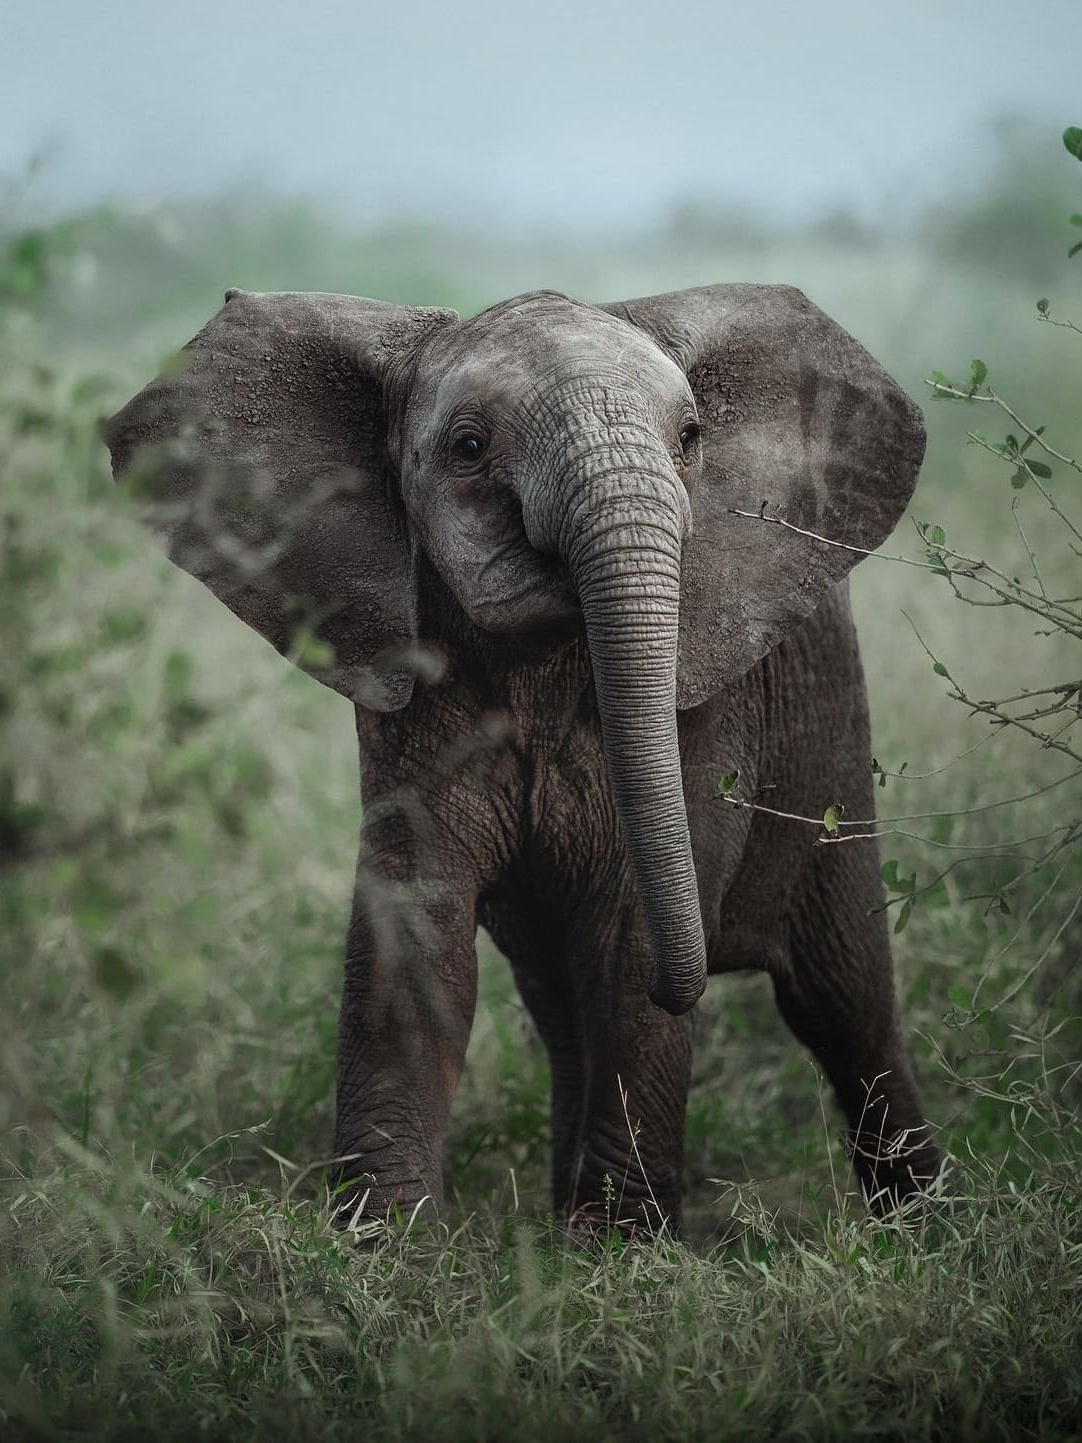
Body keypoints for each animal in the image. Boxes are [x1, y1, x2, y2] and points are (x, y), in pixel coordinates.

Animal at [106, 281, 946, 1229]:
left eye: (691, 438)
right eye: (470, 448)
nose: (689, 980)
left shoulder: (709, 705)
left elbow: (628, 938)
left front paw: (618, 1249)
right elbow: (415, 933)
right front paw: (386, 1241)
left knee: (843, 1001)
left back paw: (919, 1226)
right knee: (566, 1008)